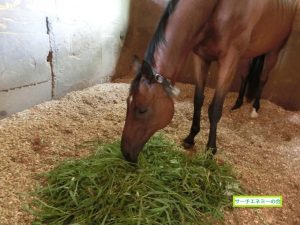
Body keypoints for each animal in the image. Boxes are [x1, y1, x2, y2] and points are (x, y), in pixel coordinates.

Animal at [121, 0, 298, 163]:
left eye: (141, 110)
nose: (125, 153)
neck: (216, 8)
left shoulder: (228, 62)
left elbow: (215, 109)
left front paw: (210, 149)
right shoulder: (202, 58)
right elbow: (198, 100)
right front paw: (190, 137)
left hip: (273, 52)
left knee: (262, 79)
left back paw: (255, 108)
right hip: (248, 54)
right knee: (245, 75)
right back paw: (238, 103)